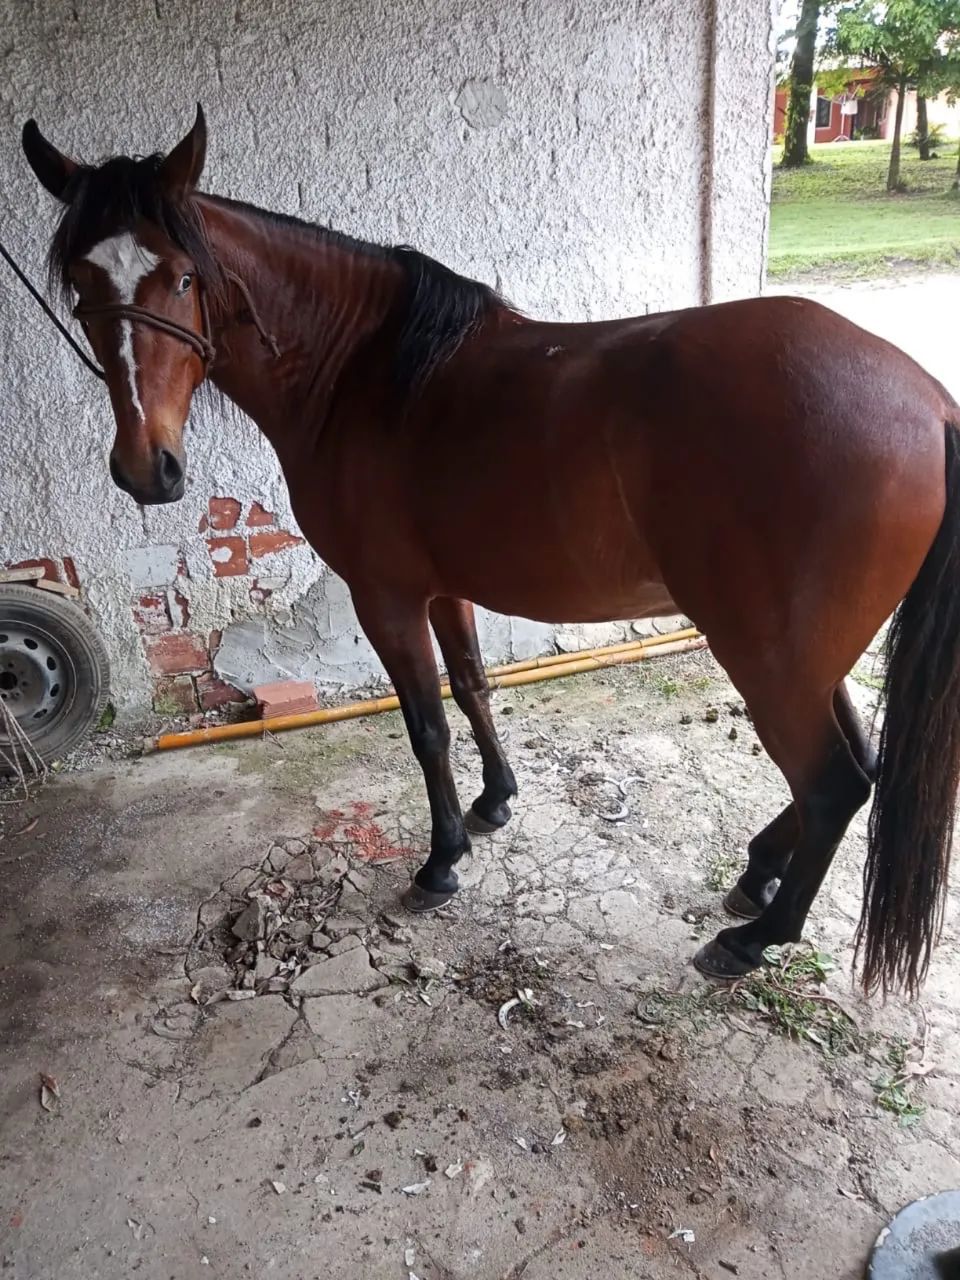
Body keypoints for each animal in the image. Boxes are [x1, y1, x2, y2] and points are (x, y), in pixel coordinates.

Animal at [20, 106, 960, 996]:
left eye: (183, 276)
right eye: (81, 283)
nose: (147, 469)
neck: (365, 374)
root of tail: (926, 401)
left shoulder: (386, 595)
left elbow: (426, 723)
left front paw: (441, 862)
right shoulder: (447, 587)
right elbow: (472, 688)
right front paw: (495, 801)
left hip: (767, 654)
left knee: (834, 782)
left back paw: (757, 936)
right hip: (808, 656)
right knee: (856, 765)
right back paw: (759, 873)